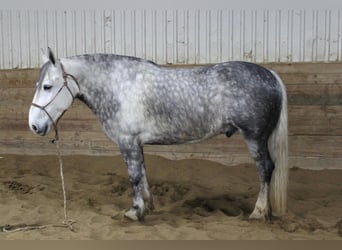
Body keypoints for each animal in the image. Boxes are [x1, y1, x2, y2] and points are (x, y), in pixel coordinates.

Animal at [28, 48, 288, 223]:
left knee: (265, 168)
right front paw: (148, 206)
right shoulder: (136, 143)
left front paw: (135, 212)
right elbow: (143, 173)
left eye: (47, 86)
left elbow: (133, 176)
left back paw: (258, 212)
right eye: (38, 85)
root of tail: (271, 75)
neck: (119, 86)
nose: (34, 125)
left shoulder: (127, 141)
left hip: (254, 137)